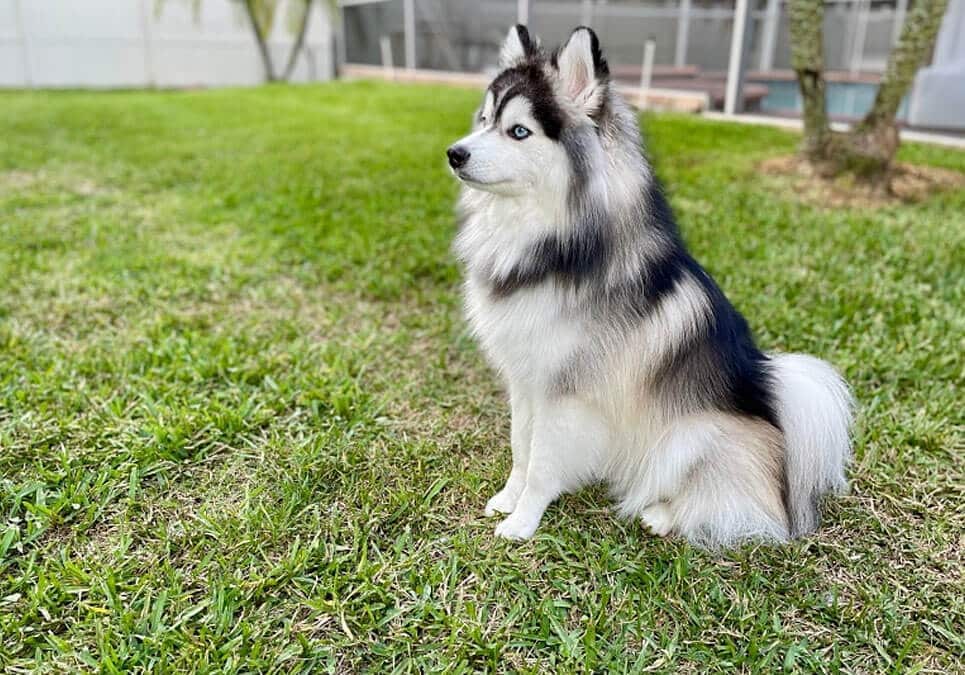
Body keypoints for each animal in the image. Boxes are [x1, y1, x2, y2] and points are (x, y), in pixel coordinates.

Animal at [444, 26, 852, 548]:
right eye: (485, 119)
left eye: (519, 131)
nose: (454, 153)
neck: (554, 244)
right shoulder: (525, 379)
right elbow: (521, 447)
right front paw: (507, 500)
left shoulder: (566, 392)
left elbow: (542, 463)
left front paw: (523, 521)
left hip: (689, 436)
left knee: (733, 507)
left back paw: (661, 513)